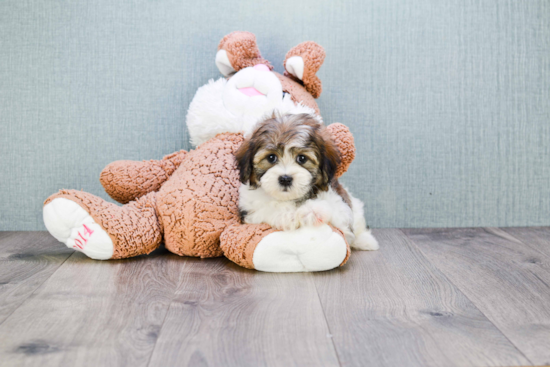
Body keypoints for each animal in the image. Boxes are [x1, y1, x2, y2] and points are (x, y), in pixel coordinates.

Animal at [235, 113, 382, 252]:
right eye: (271, 157)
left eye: (302, 158)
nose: (285, 179)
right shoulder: (249, 212)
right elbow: (266, 208)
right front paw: (289, 215)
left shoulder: (339, 204)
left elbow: (334, 211)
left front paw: (313, 210)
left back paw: (366, 241)